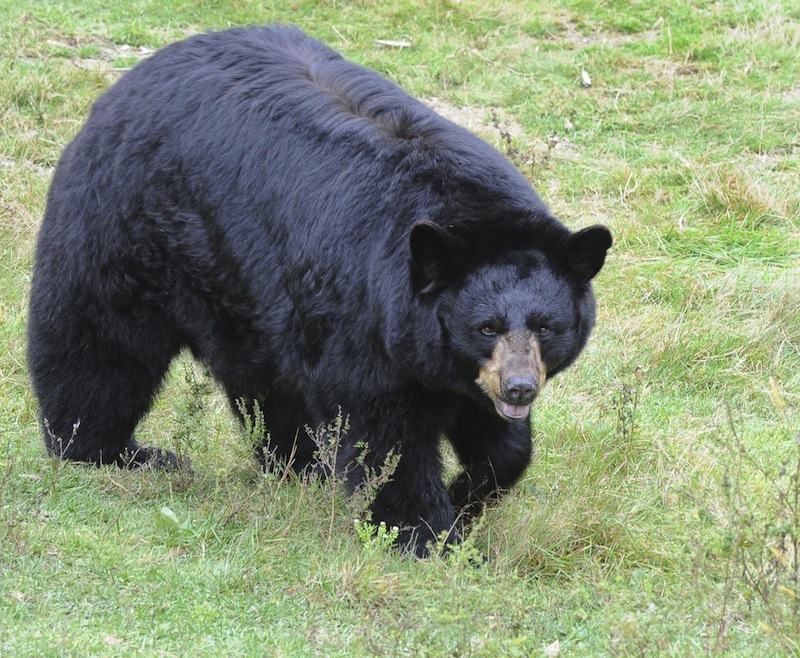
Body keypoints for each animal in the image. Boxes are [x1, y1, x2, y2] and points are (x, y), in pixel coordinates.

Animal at [27, 25, 612, 556]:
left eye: (546, 326)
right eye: (485, 326)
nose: (520, 388)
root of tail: (136, 74)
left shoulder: (455, 364)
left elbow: (500, 445)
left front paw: (468, 494)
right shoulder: (362, 318)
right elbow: (383, 436)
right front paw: (426, 535)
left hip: (246, 293)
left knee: (267, 384)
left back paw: (298, 465)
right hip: (131, 226)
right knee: (102, 345)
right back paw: (107, 449)